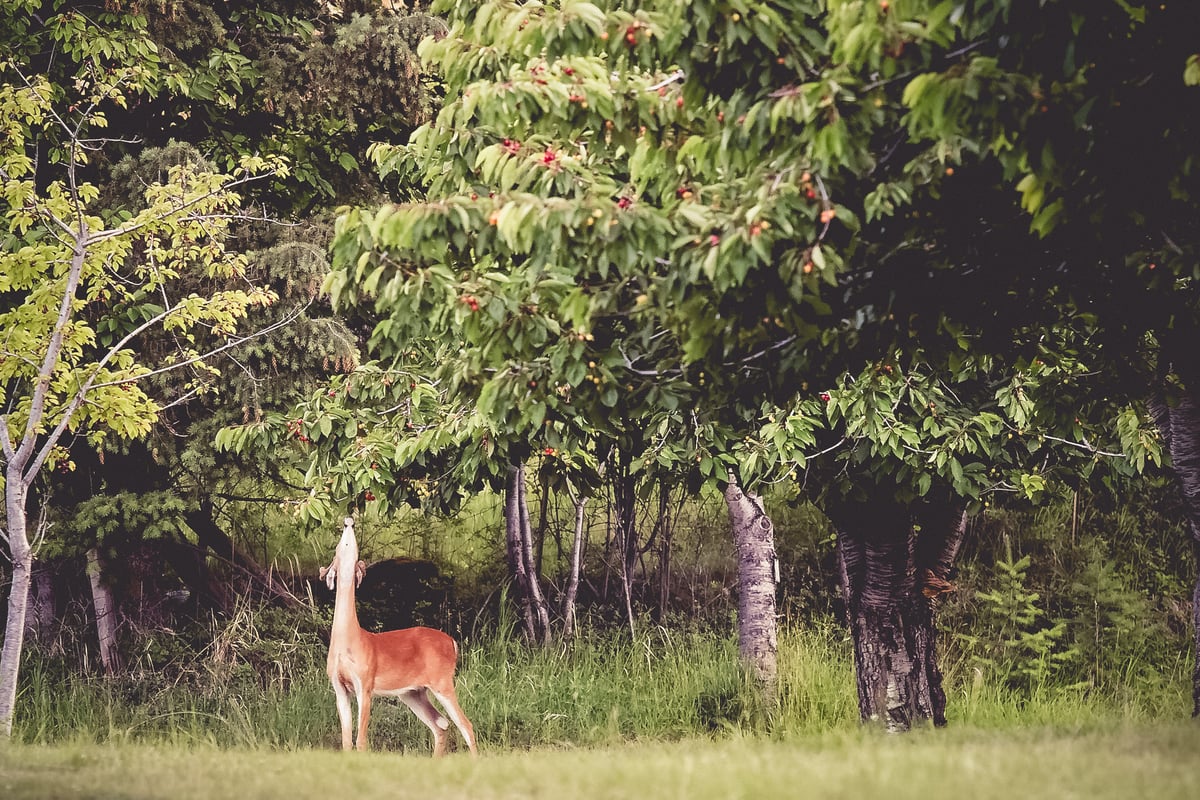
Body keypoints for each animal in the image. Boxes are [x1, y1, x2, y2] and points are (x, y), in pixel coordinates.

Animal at [319, 520, 477, 758]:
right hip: (413, 692)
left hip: (442, 681)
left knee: (465, 725)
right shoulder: (339, 686)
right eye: (340, 545)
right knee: (441, 725)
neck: (349, 640)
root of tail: (453, 643)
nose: (349, 521)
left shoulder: (365, 682)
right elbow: (346, 741)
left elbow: (361, 740)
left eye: (351, 546)